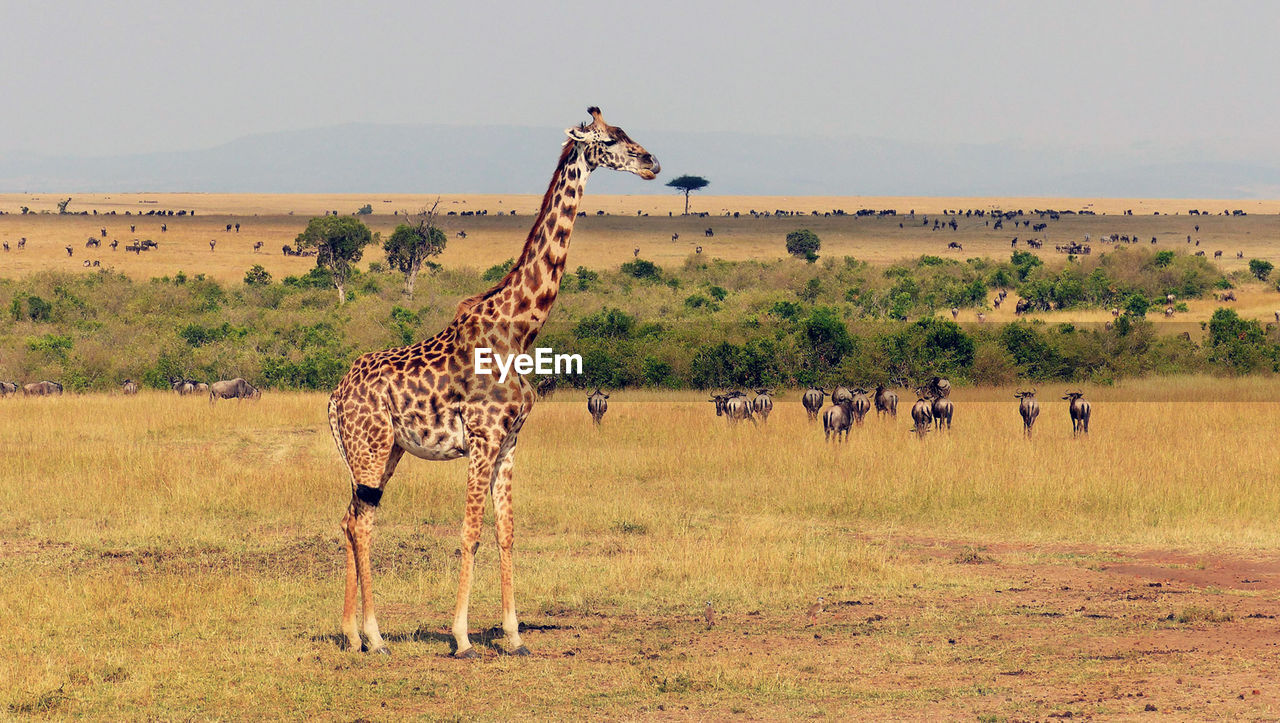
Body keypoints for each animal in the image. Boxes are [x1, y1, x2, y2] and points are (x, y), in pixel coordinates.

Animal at [325, 108, 665, 660]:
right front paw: (462, 638)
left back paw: (353, 634)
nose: (653, 162)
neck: (520, 329)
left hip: (383, 451)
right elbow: (471, 533)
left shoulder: (510, 443)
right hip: (370, 447)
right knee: (362, 522)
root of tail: (334, 398)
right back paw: (375, 637)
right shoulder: (483, 440)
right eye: (611, 138)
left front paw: (514, 636)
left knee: (351, 519)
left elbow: (506, 533)